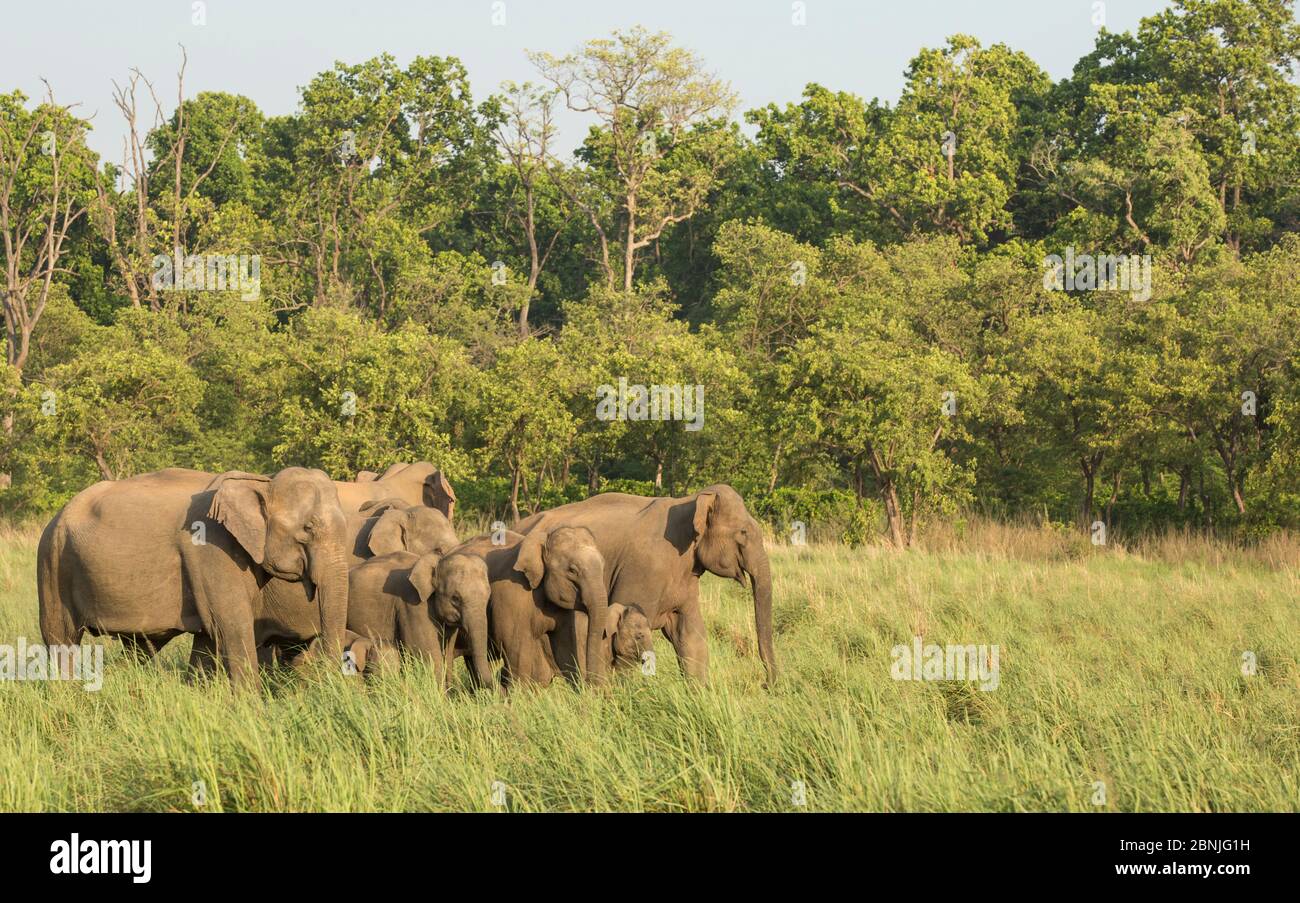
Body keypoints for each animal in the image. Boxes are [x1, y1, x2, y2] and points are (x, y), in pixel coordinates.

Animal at [36, 465, 351, 686]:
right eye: (308, 528)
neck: (262, 481)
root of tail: (57, 515)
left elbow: (208, 640)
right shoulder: (211, 550)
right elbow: (232, 627)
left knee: (138, 648)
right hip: (52, 563)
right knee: (61, 639)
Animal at [514, 488, 780, 686]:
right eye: (743, 533)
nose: (765, 684)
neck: (690, 500)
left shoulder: (686, 578)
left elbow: (690, 636)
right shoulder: (643, 570)